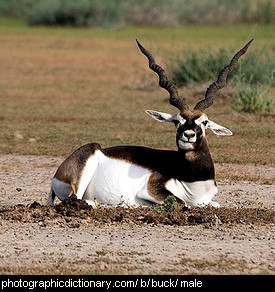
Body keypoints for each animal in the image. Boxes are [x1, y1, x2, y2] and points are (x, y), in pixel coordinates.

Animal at [47, 39, 254, 208]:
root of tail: (56, 176)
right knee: (79, 200)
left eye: (204, 122)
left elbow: (214, 204)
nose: (188, 135)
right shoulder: (150, 190)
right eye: (177, 121)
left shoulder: (209, 200)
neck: (191, 180)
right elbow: (182, 203)